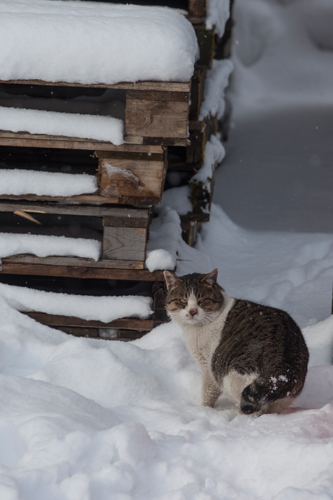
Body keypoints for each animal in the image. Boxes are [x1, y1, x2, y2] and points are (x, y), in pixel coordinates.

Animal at [162, 268, 308, 416]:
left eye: (202, 300)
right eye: (183, 300)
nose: (192, 311)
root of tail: (285, 367)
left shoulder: (209, 368)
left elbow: (208, 393)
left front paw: (203, 410)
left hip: (234, 376)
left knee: (256, 409)